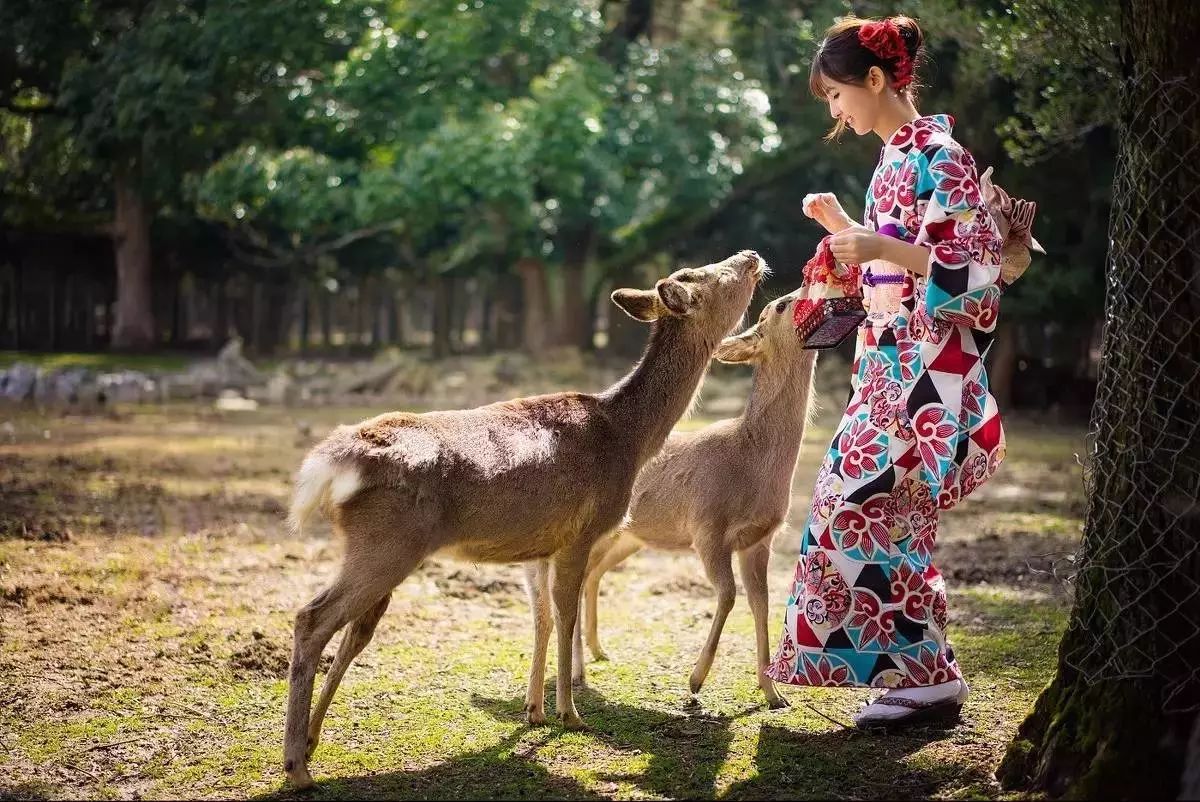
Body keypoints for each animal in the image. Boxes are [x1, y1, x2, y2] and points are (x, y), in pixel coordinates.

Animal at [283, 252, 758, 787]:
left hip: (375, 547)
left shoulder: (542, 545)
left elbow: (542, 617)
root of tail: (330, 462)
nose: (751, 258)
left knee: (352, 632)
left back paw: (312, 741)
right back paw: (296, 766)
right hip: (386, 543)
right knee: (311, 619)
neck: (628, 438)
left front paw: (534, 710)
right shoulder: (582, 531)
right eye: (712, 276)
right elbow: (567, 615)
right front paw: (570, 714)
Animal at [576, 284, 820, 710]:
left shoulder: (760, 538)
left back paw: (598, 650)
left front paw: (774, 693)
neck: (751, 464)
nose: (811, 288)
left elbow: (761, 603)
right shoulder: (707, 526)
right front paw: (695, 680)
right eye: (779, 306)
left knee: (593, 571)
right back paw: (579, 669)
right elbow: (728, 595)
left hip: (631, 537)